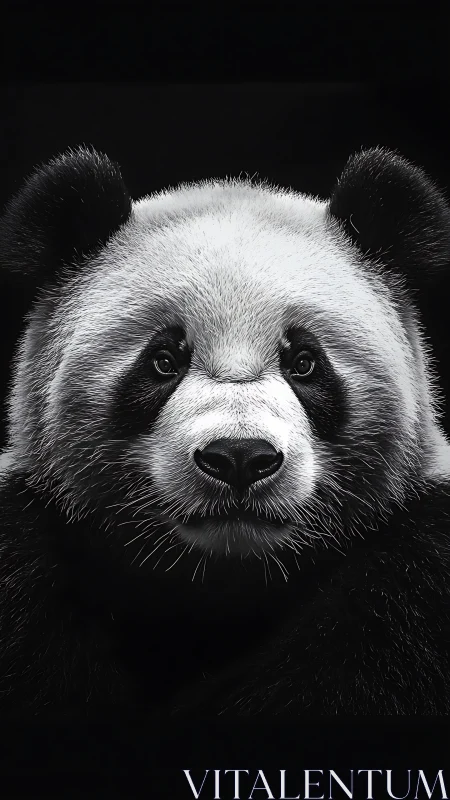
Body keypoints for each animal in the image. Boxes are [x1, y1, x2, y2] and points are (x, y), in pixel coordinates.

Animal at [1, 145, 450, 716]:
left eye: (305, 363)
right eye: (163, 362)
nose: (239, 456)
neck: (222, 583)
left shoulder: (417, 573)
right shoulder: (26, 546)